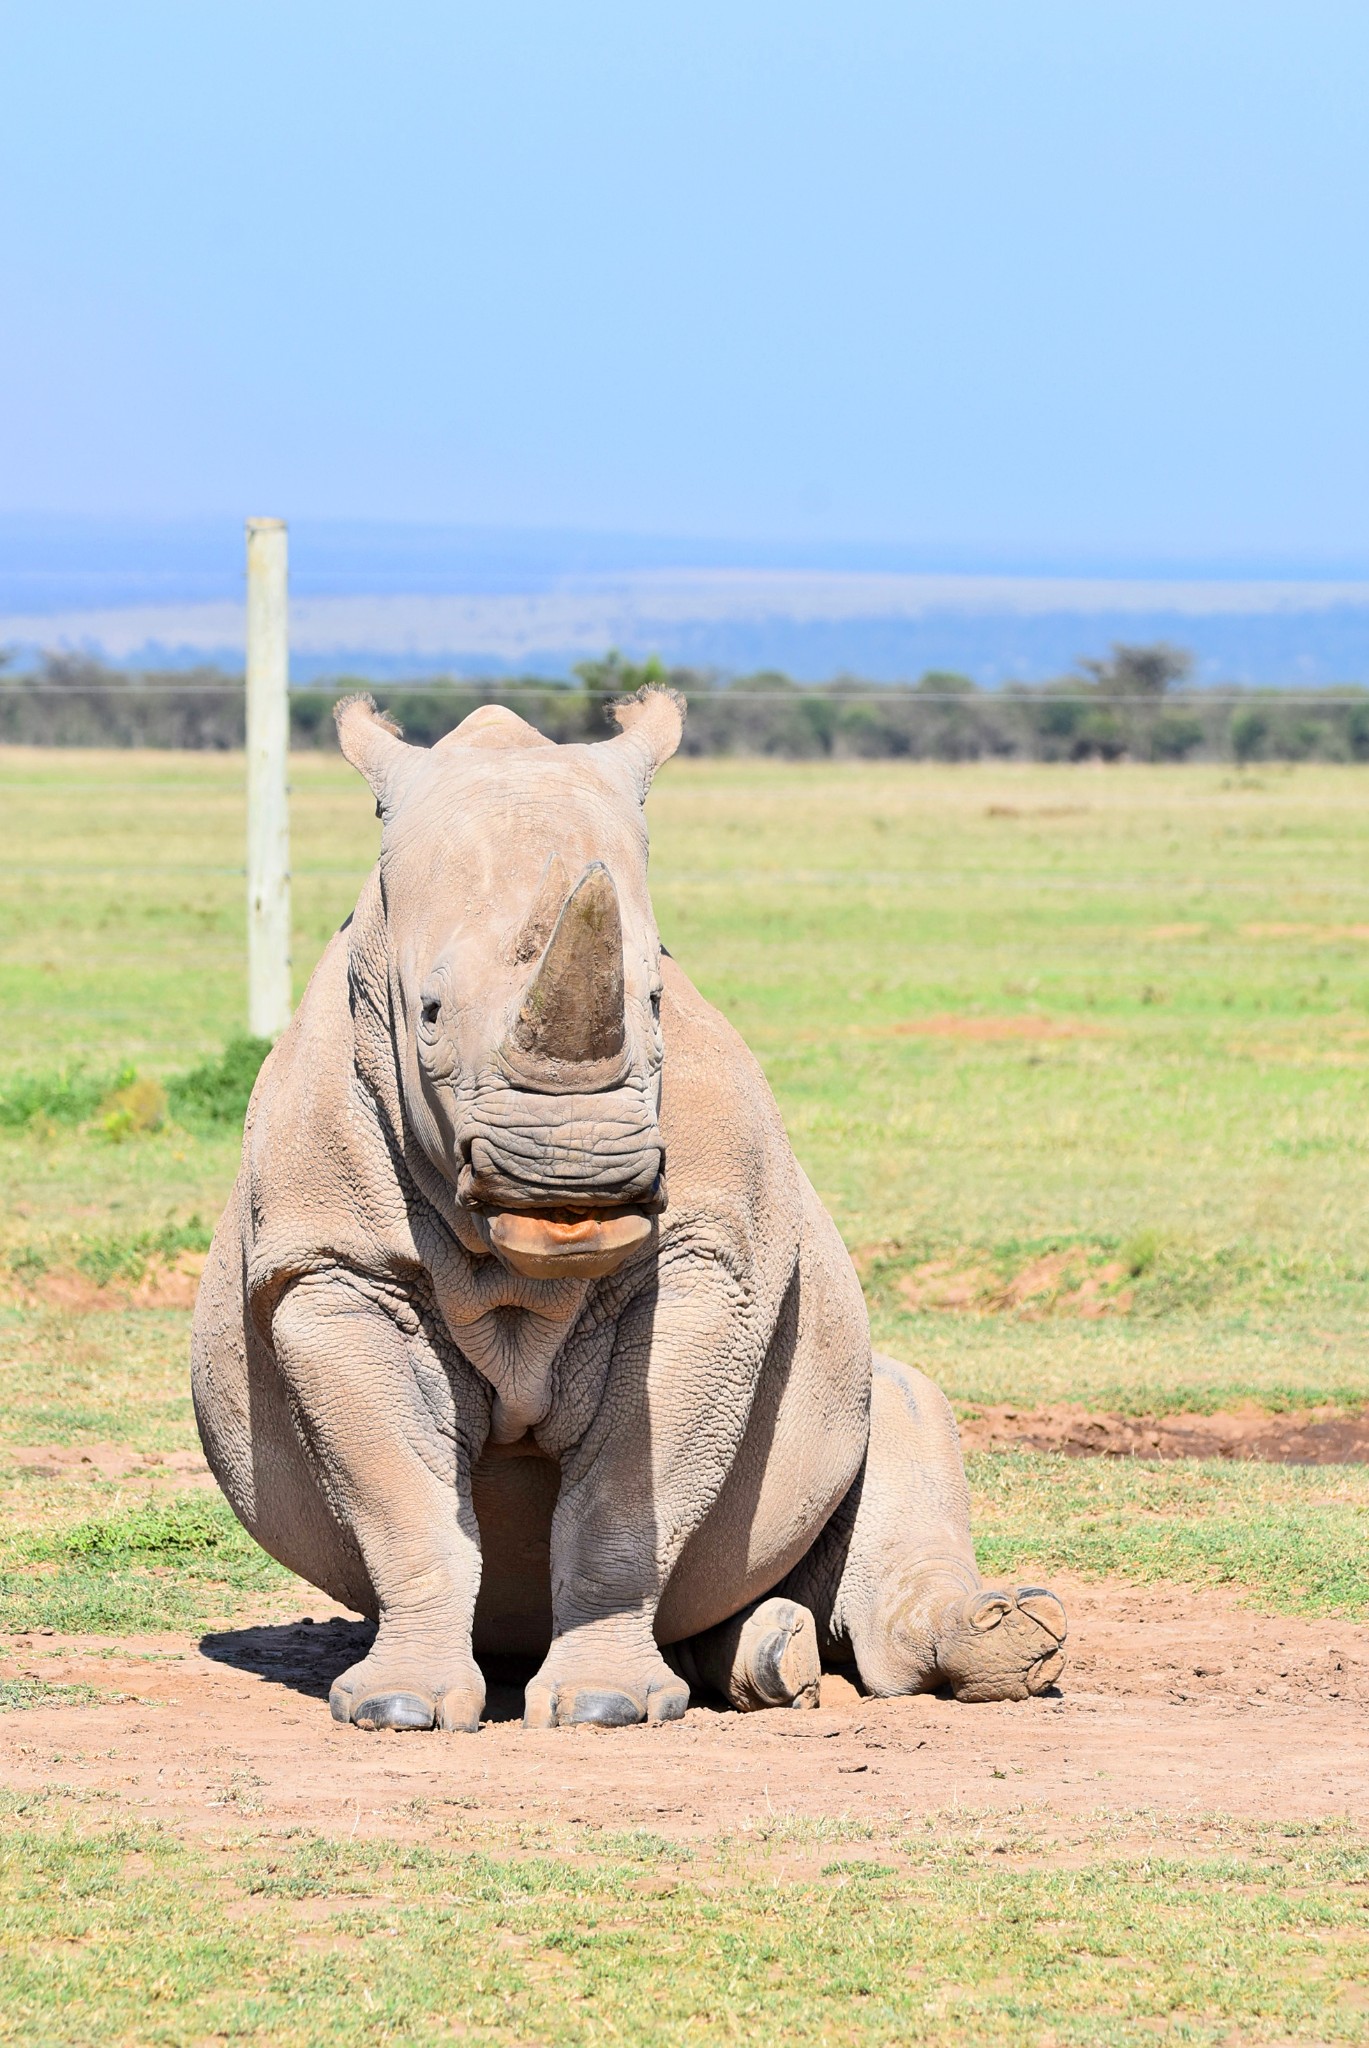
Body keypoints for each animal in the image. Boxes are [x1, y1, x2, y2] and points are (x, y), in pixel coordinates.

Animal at [192, 692, 1065, 1728]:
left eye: (653, 999)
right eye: (429, 1013)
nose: (575, 1182)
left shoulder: (707, 1262)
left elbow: (625, 1498)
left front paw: (605, 1707)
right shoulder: (331, 1271)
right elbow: (401, 1499)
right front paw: (397, 1710)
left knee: (898, 1400)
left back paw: (1000, 1641)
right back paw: (773, 1663)